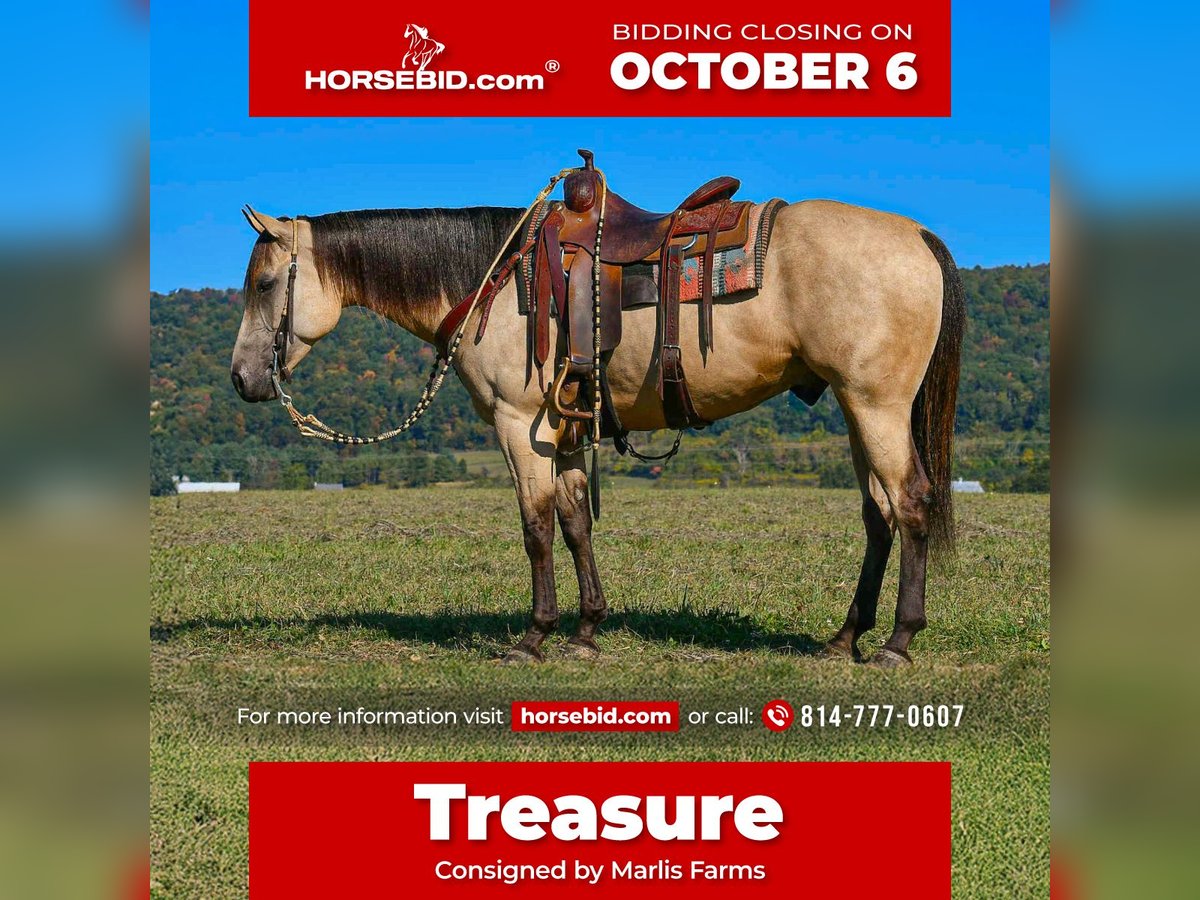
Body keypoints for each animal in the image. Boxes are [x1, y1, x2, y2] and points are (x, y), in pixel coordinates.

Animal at [230, 193, 965, 667]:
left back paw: (898, 642)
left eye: (265, 283)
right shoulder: (564, 428)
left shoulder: (518, 422)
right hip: (854, 406)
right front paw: (586, 630)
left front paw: (534, 637)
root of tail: (919, 237)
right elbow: (576, 521)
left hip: (876, 405)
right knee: (878, 515)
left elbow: (536, 527)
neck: (493, 278)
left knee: (912, 504)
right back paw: (845, 639)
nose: (242, 379)